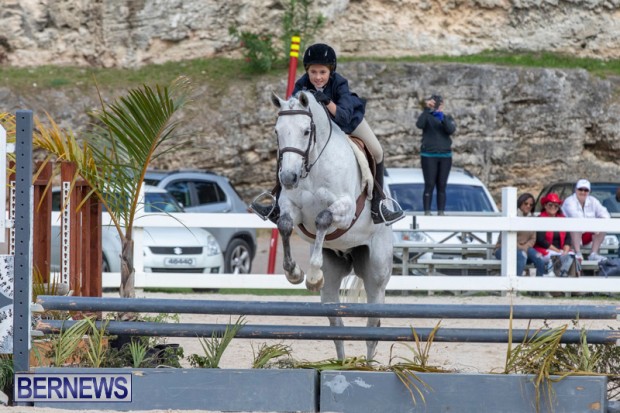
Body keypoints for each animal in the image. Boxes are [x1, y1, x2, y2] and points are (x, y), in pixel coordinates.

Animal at [270, 91, 393, 361]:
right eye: (277, 131)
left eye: (306, 131)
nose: (288, 178)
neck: (313, 165)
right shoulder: (291, 208)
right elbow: (284, 224)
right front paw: (294, 273)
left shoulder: (345, 209)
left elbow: (323, 219)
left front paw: (313, 274)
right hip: (334, 276)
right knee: (336, 326)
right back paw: (341, 364)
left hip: (376, 275)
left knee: (373, 326)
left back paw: (368, 366)